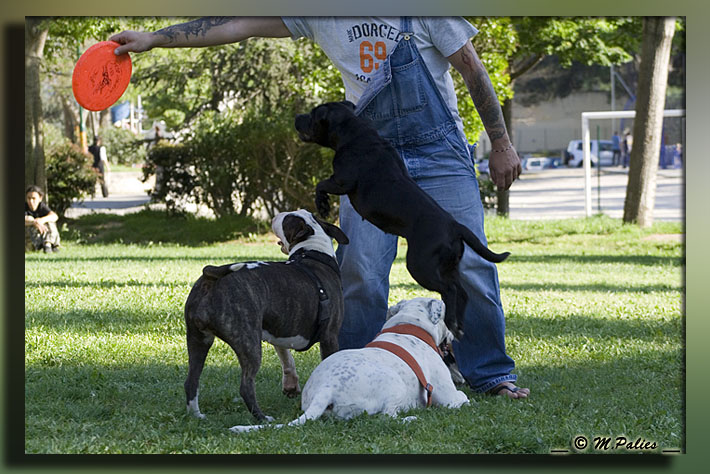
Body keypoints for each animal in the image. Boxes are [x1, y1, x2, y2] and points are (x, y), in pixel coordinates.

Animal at [231, 300, 470, 434]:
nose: (455, 335)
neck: (409, 327)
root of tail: (326, 389)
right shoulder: (448, 397)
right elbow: (462, 398)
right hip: (395, 384)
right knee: (384, 418)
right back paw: (409, 418)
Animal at [296, 101, 512, 336]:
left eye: (312, 114)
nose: (297, 117)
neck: (352, 132)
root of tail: (455, 226)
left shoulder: (342, 181)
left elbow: (321, 184)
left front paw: (322, 204)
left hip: (420, 265)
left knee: (450, 290)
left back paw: (451, 322)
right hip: (448, 266)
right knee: (461, 292)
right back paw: (457, 326)